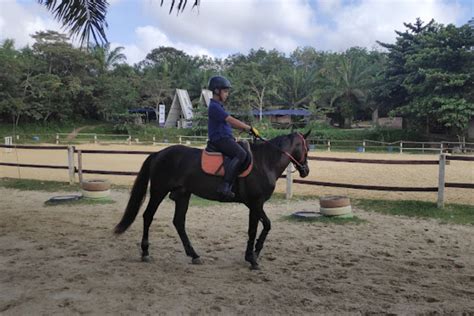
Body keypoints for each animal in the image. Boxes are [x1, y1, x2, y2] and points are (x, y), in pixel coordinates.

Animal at [115, 131, 312, 270]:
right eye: (307, 148)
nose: (306, 171)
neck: (264, 162)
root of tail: (158, 154)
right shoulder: (256, 202)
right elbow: (258, 228)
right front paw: (252, 258)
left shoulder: (254, 205)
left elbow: (261, 227)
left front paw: (254, 253)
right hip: (158, 191)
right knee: (148, 216)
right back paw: (145, 252)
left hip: (182, 195)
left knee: (179, 222)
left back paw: (194, 255)